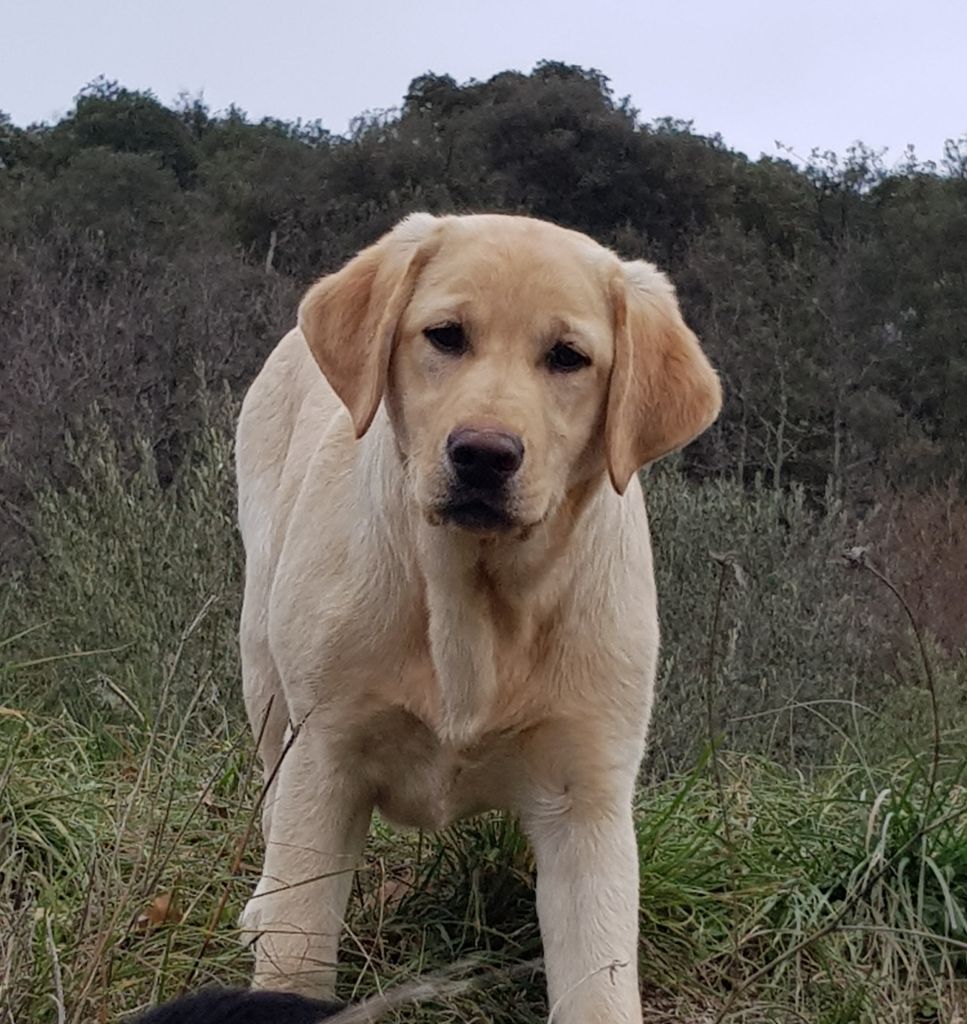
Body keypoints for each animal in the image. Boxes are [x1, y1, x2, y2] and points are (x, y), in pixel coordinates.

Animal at [234, 211, 717, 1019]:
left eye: (568, 357)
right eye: (445, 336)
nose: (484, 454)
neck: (478, 595)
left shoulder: (587, 802)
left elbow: (599, 986)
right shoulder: (325, 756)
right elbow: (297, 947)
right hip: (267, 675)